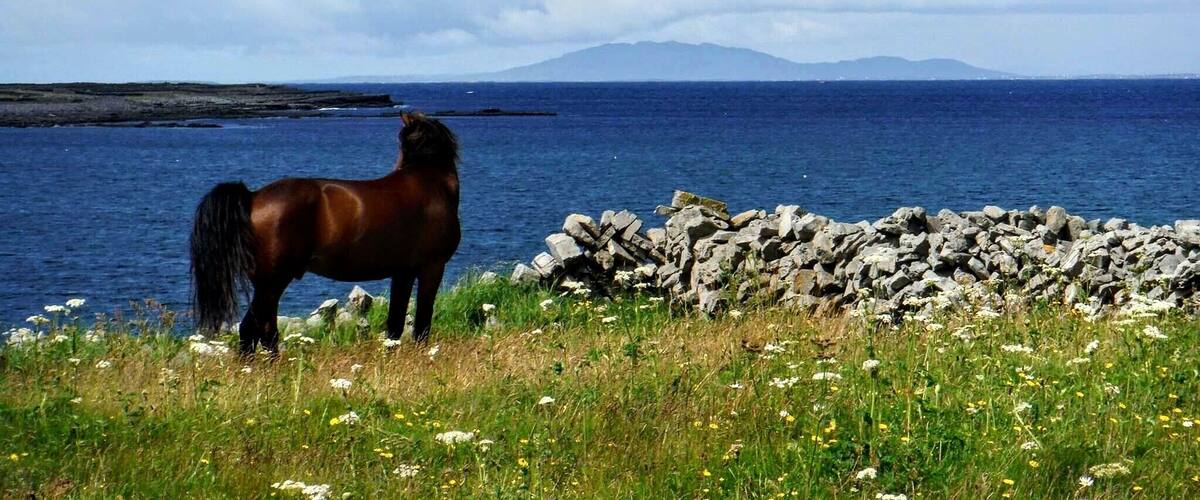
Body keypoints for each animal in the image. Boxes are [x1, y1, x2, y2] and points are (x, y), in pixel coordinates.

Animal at [189, 112, 460, 355]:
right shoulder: (432, 267)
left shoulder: (403, 272)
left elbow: (395, 322)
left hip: (269, 284)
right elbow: (423, 320)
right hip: (272, 282)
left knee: (257, 329)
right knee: (258, 329)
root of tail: (253, 197)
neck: (430, 183)